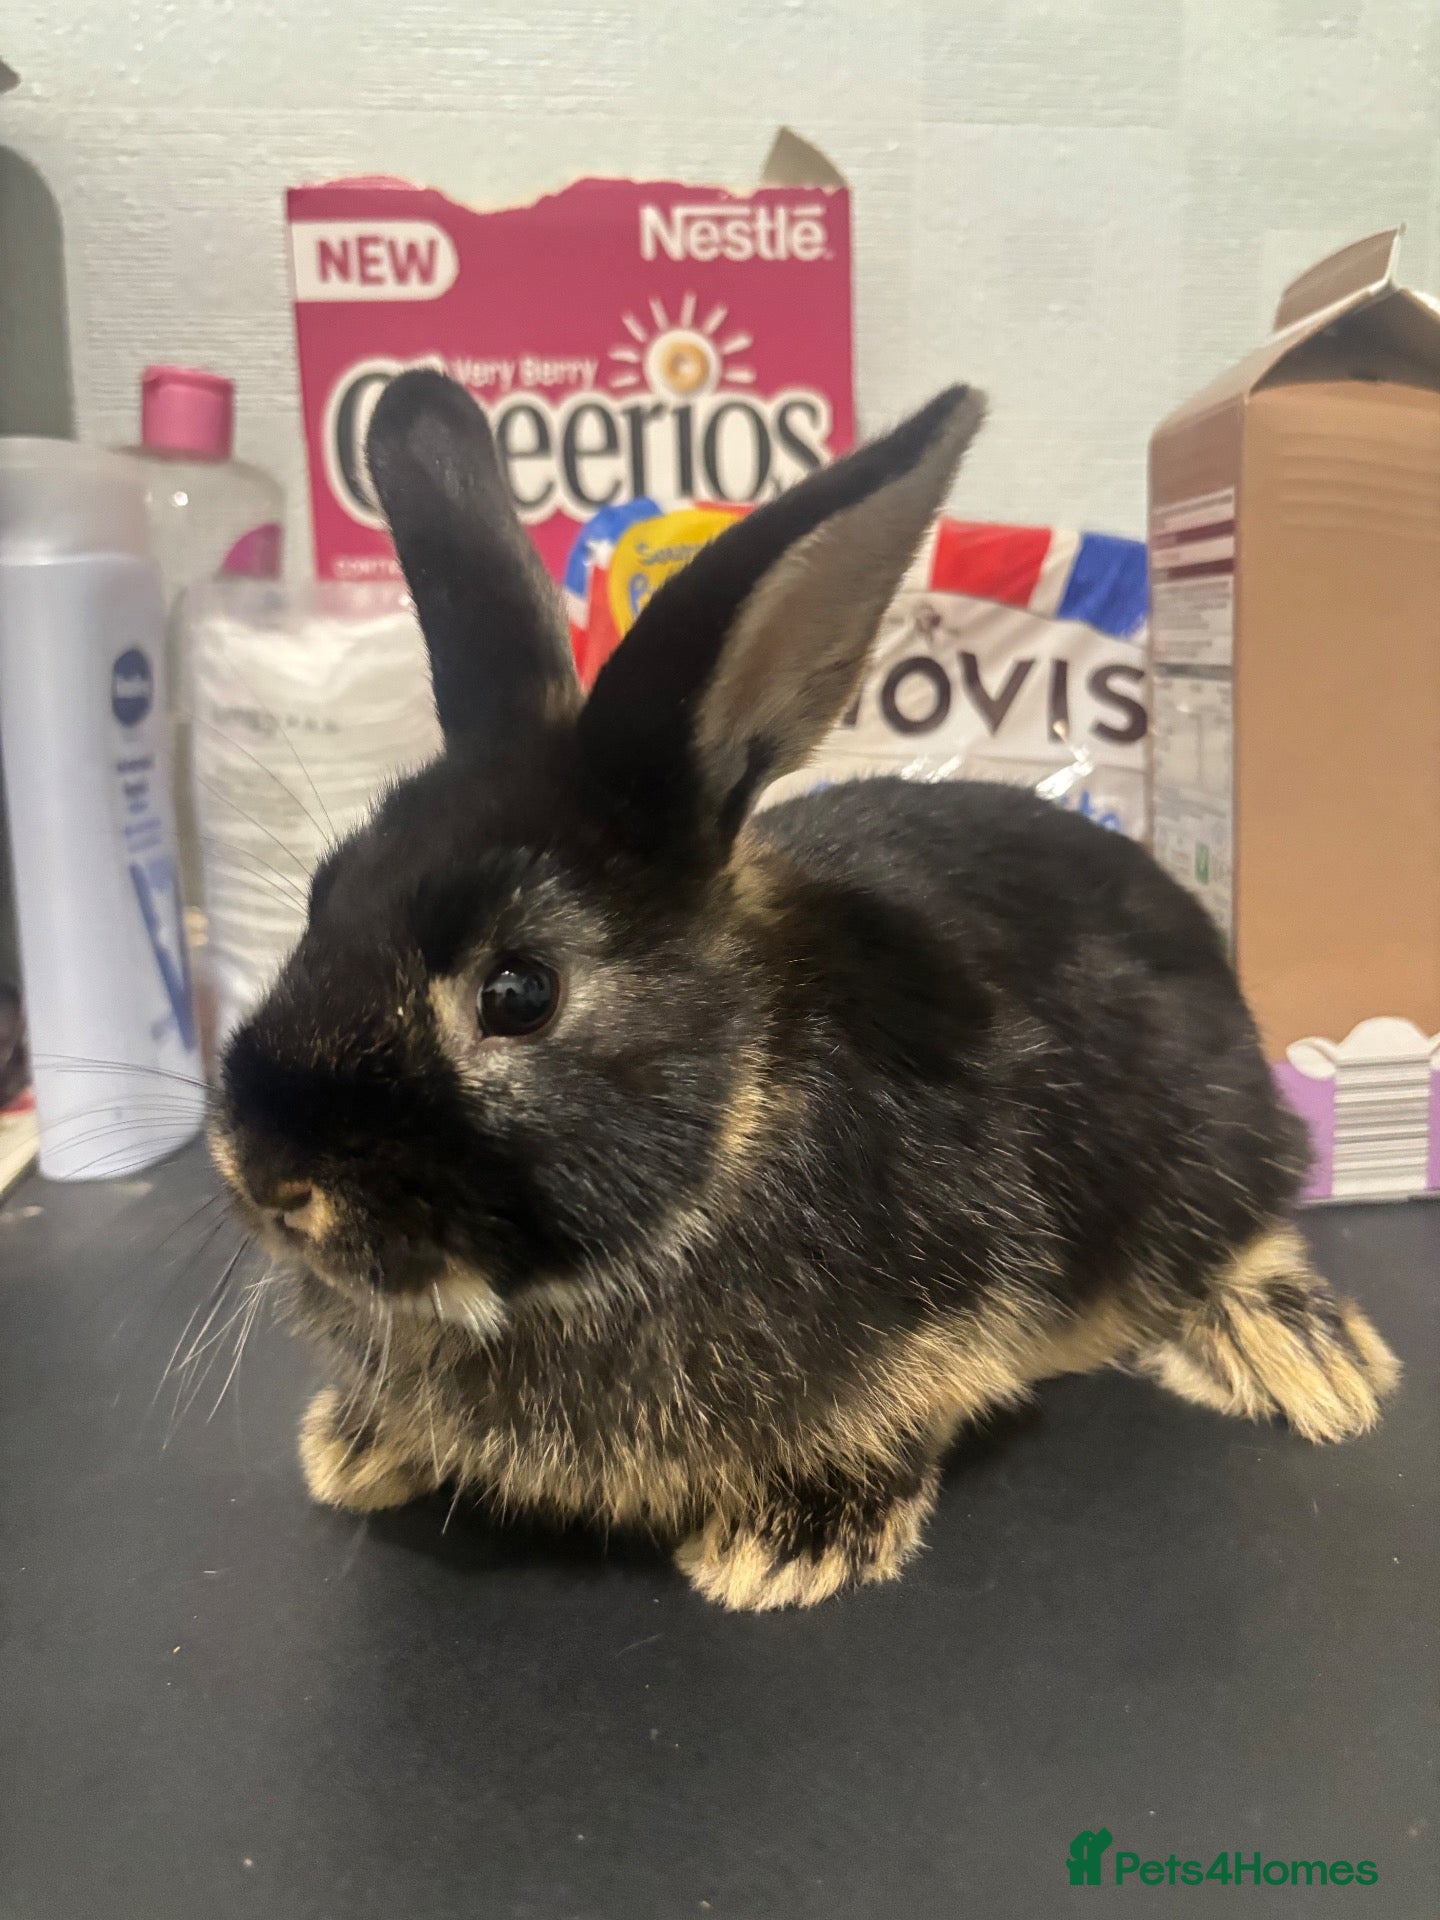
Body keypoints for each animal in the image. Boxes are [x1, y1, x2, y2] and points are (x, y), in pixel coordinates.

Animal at [211, 369, 1400, 1611]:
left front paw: (785, 1545)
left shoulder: (947, 1320)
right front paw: (356, 1448)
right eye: (322, 895)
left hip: (1207, 1155)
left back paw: (1311, 1360)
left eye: (519, 992)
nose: (266, 1176)